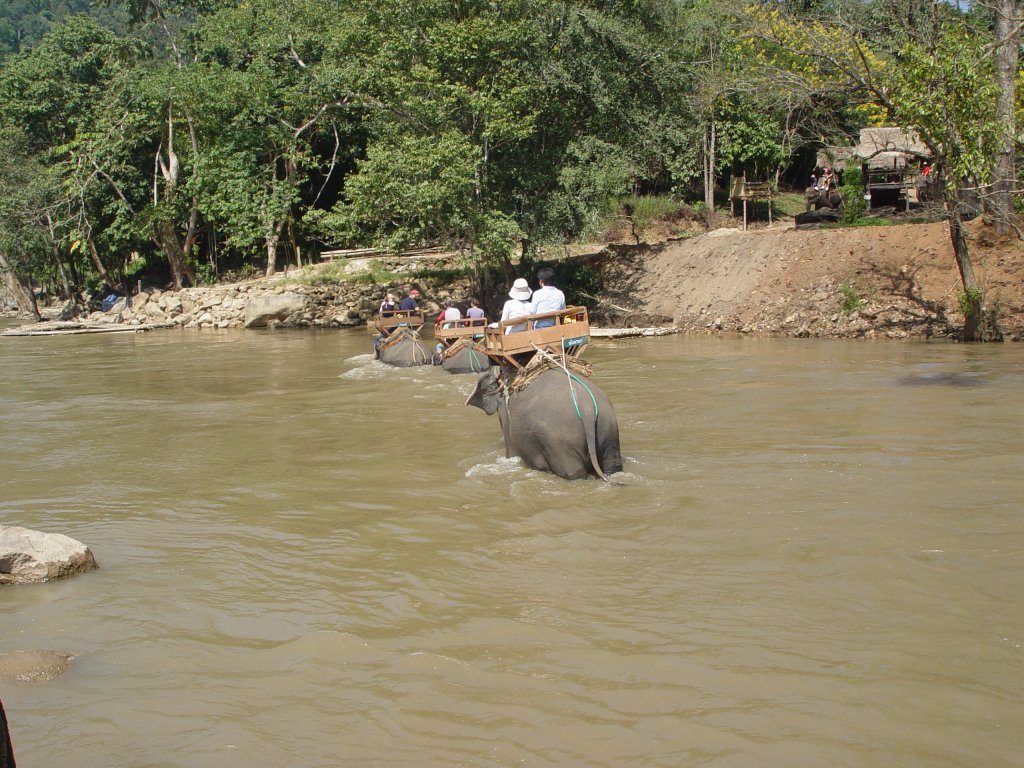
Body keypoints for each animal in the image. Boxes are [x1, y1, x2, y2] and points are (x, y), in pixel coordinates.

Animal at [466, 366, 622, 481]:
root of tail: (587, 409)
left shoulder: (505, 413)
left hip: (558, 442)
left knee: (574, 472)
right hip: (608, 426)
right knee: (612, 465)